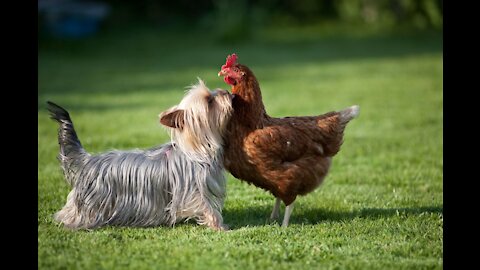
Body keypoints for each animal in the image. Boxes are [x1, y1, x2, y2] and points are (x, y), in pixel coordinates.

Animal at [46, 79, 232, 231]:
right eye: (209, 101)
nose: (226, 91)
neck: (197, 150)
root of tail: (87, 160)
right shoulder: (193, 189)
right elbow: (207, 207)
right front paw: (220, 227)